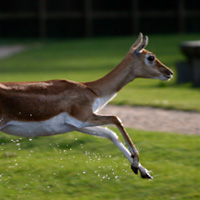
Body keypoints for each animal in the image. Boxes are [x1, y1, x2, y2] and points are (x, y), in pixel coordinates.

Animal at [0, 33, 172, 179]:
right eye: (151, 57)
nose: (169, 72)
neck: (92, 90)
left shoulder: (76, 126)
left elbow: (110, 134)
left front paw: (143, 172)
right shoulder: (83, 117)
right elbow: (116, 118)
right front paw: (136, 164)